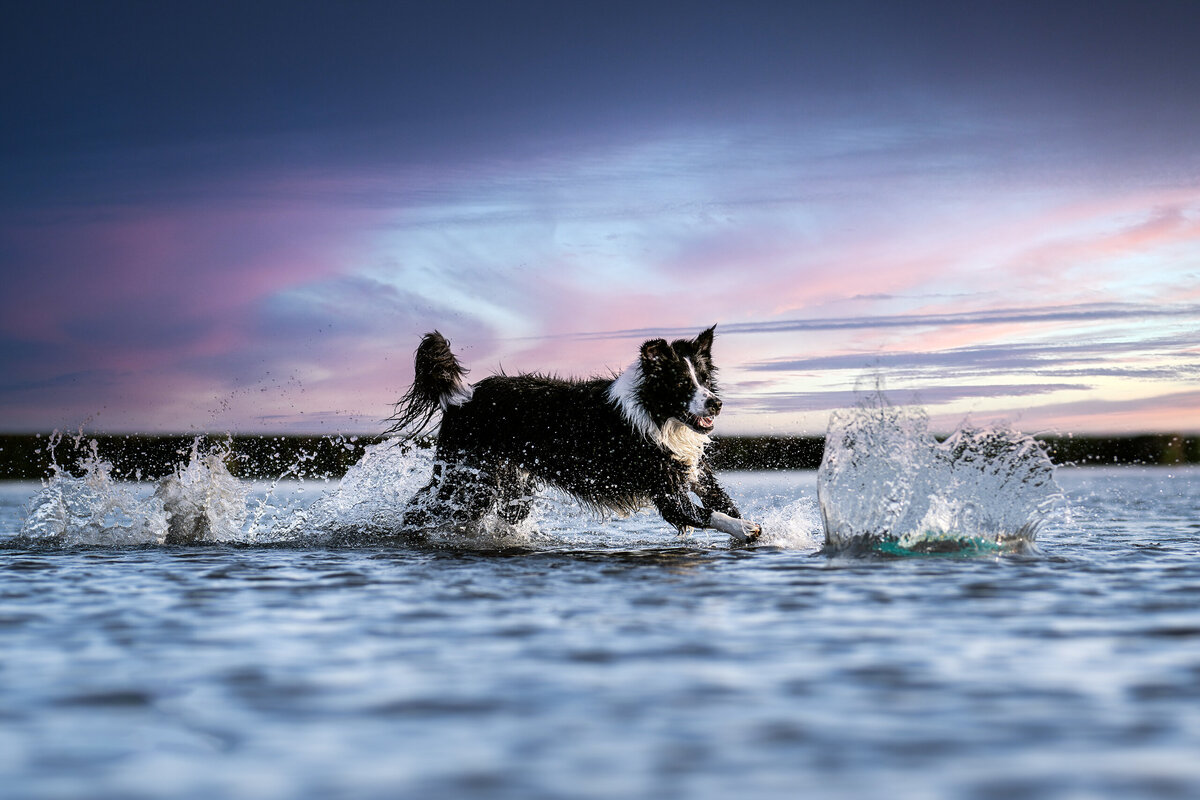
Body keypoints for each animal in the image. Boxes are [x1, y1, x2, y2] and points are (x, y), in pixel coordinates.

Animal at [391, 326, 758, 544]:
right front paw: (746, 529)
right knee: (420, 508)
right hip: (469, 480)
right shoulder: (664, 488)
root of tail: (461, 398)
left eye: (705, 380)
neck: (657, 415)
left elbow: (722, 501)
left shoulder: (690, 469)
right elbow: (704, 513)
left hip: (510, 486)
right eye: (682, 384)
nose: (716, 403)